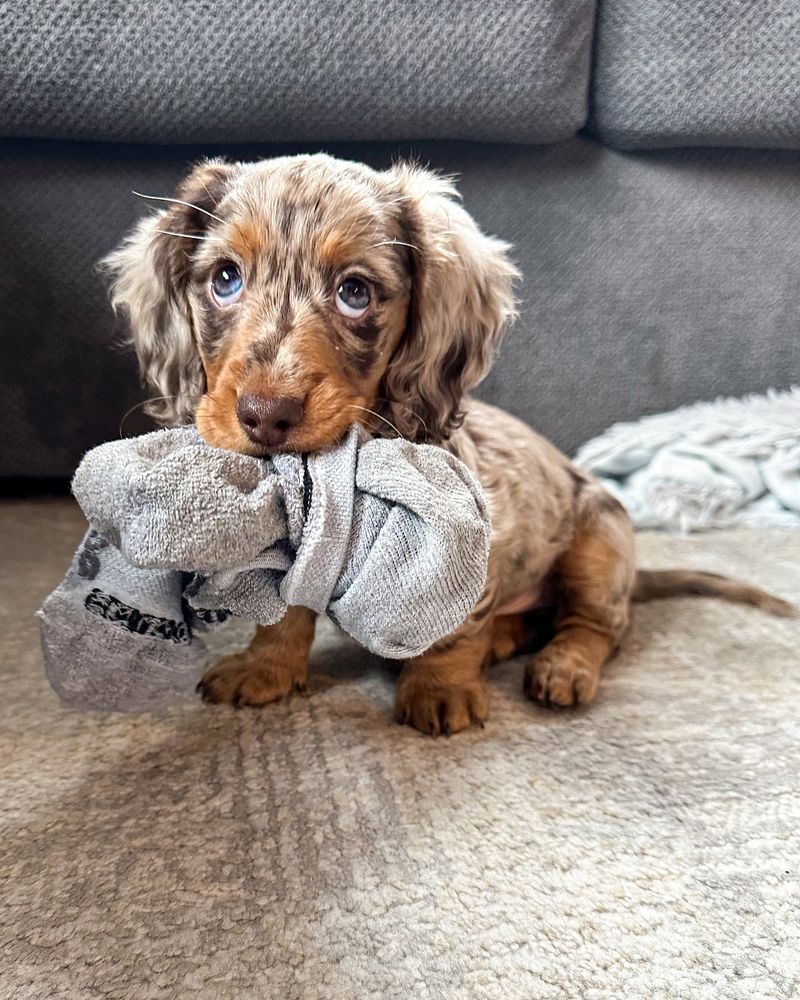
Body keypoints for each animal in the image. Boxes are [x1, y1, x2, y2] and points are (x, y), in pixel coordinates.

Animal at [101, 156, 792, 736]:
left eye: (355, 292)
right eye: (225, 279)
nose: (265, 416)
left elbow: (457, 627)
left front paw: (440, 687)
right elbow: (285, 613)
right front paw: (264, 667)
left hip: (599, 546)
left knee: (597, 624)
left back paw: (562, 665)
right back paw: (511, 636)